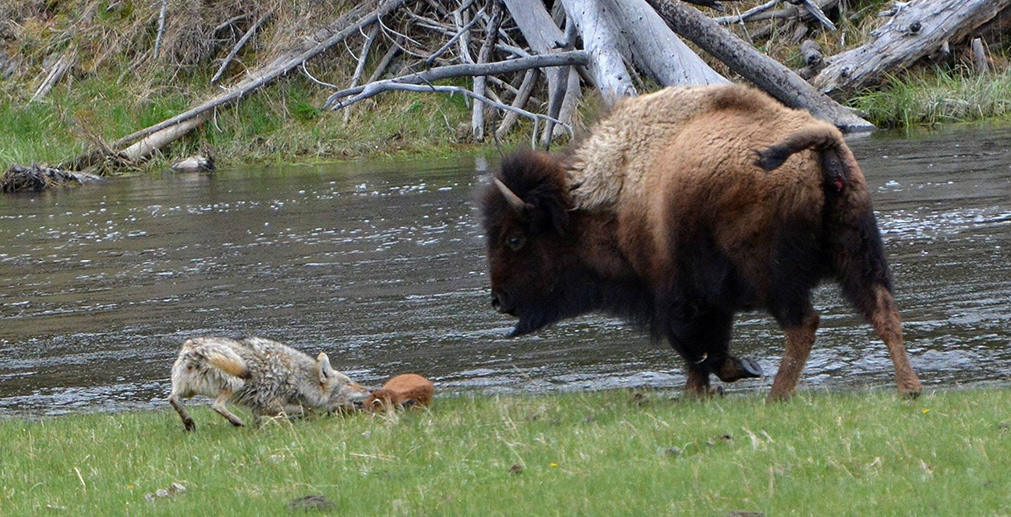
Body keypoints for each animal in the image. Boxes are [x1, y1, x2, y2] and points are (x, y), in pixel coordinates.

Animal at [167, 337, 370, 431]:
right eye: (349, 382)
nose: (369, 390)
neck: (299, 379)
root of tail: (195, 347)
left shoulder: (258, 407)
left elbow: (258, 420)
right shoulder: (270, 405)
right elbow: (305, 411)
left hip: (187, 391)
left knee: (172, 398)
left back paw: (189, 423)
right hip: (236, 382)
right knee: (217, 406)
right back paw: (236, 422)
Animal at [481, 83, 926, 400]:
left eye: (515, 239)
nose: (498, 301)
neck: (619, 187)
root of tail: (822, 144)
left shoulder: (677, 297)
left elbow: (696, 350)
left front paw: (724, 378)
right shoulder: (708, 301)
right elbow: (707, 350)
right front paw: (718, 382)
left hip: (774, 277)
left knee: (804, 325)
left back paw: (776, 396)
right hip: (858, 254)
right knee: (884, 312)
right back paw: (909, 389)